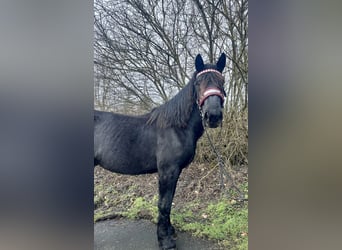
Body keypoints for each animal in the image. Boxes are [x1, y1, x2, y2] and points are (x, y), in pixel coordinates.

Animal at [95, 53, 226, 250]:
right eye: (198, 83)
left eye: (222, 81)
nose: (213, 116)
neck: (176, 128)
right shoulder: (167, 171)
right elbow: (163, 204)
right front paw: (165, 241)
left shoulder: (175, 172)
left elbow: (169, 202)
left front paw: (170, 232)